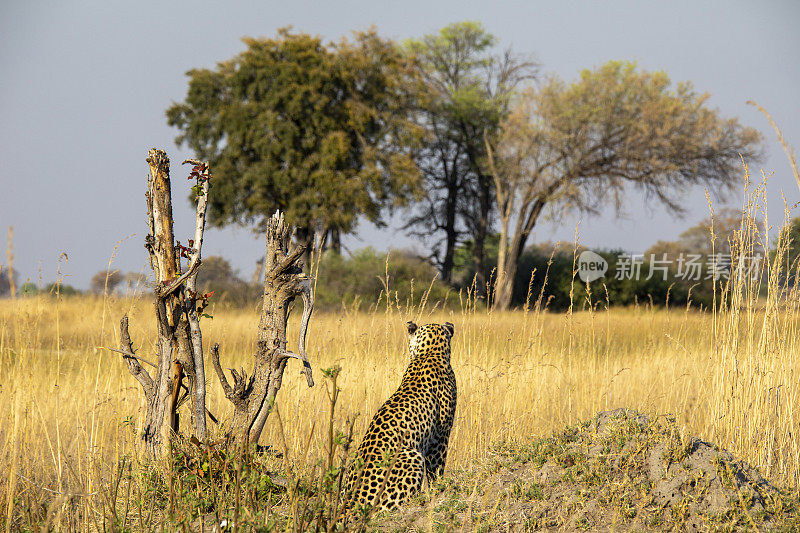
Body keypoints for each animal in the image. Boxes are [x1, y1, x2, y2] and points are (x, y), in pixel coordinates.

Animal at [344, 320, 456, 512]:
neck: (430, 353)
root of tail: (348, 507)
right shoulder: (440, 436)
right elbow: (437, 470)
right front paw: (439, 488)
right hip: (412, 455)